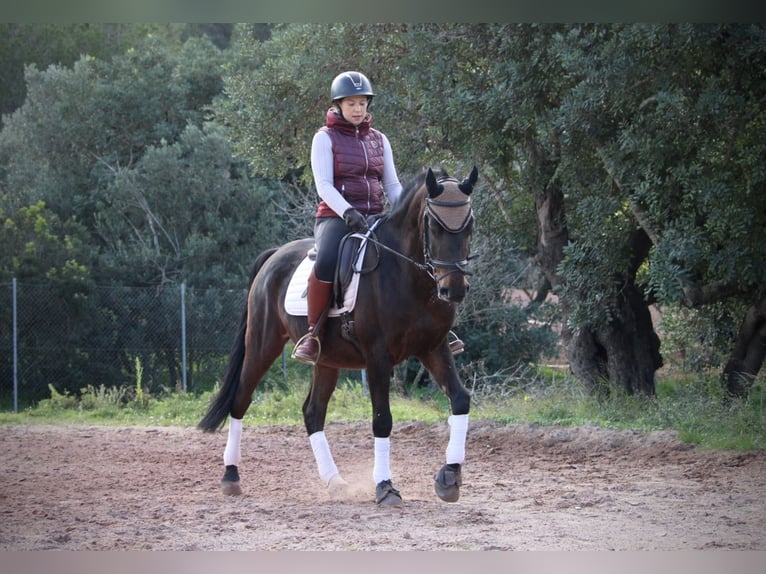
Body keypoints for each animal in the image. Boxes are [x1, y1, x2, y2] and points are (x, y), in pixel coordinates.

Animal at [198, 166, 478, 507]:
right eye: (434, 226)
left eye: (469, 225)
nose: (454, 289)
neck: (408, 276)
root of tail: (275, 255)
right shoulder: (378, 356)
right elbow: (382, 419)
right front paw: (385, 487)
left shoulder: (434, 348)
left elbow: (460, 399)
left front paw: (449, 476)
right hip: (262, 345)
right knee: (241, 399)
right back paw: (231, 477)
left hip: (327, 359)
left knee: (312, 412)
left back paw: (335, 482)